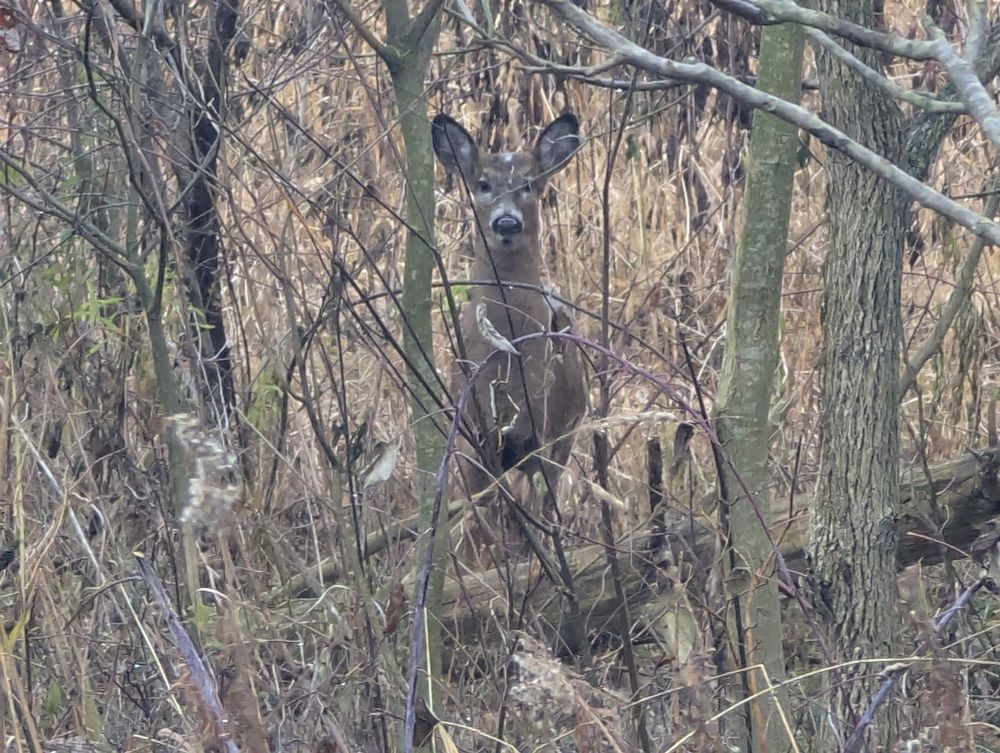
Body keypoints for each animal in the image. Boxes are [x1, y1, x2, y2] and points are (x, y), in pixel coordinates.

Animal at [432, 111, 588, 563]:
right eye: (483, 184)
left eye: (529, 184)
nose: (506, 221)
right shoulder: (473, 430)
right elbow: (478, 513)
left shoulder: (544, 429)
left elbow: (532, 515)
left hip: (569, 428)